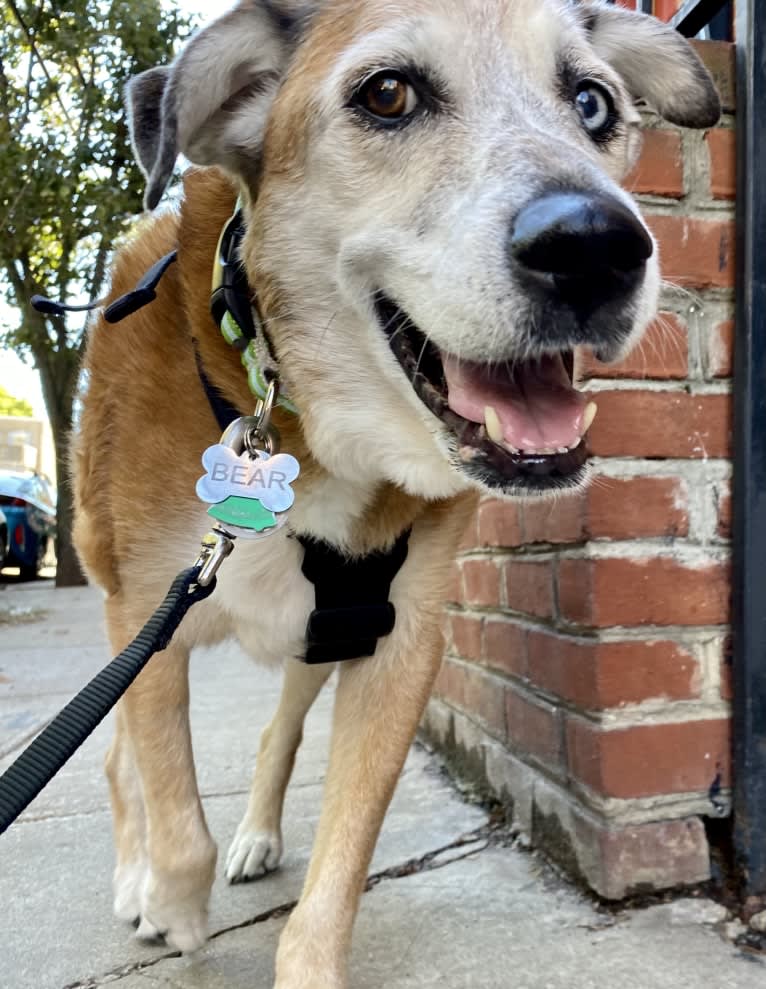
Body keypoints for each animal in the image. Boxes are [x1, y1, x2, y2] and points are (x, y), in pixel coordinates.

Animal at [70, 3, 720, 984]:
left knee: (275, 732)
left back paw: (255, 836)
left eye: (593, 102)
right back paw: (132, 882)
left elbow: (338, 871)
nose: (597, 247)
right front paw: (171, 907)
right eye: (387, 94)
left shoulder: (398, 639)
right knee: (121, 766)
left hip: (317, 633)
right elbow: (173, 807)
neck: (314, 435)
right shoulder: (152, 613)